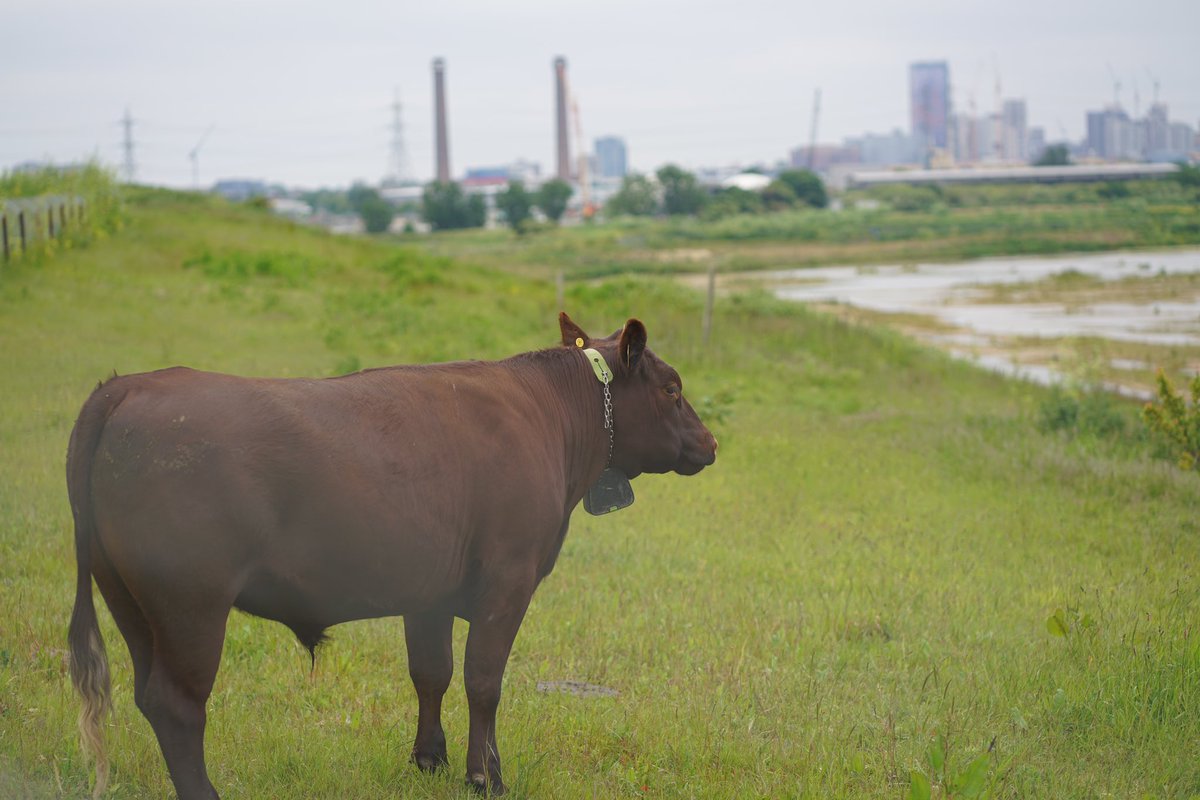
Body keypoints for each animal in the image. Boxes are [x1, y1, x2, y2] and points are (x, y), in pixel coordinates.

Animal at [65, 314, 710, 800]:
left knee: (149, 695)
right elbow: (483, 680)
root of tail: (129, 386)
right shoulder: (508, 579)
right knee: (178, 704)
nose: (710, 443)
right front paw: (486, 776)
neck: (546, 417)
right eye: (672, 389)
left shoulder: (430, 593)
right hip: (191, 602)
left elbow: (431, 673)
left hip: (130, 601)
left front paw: (429, 761)